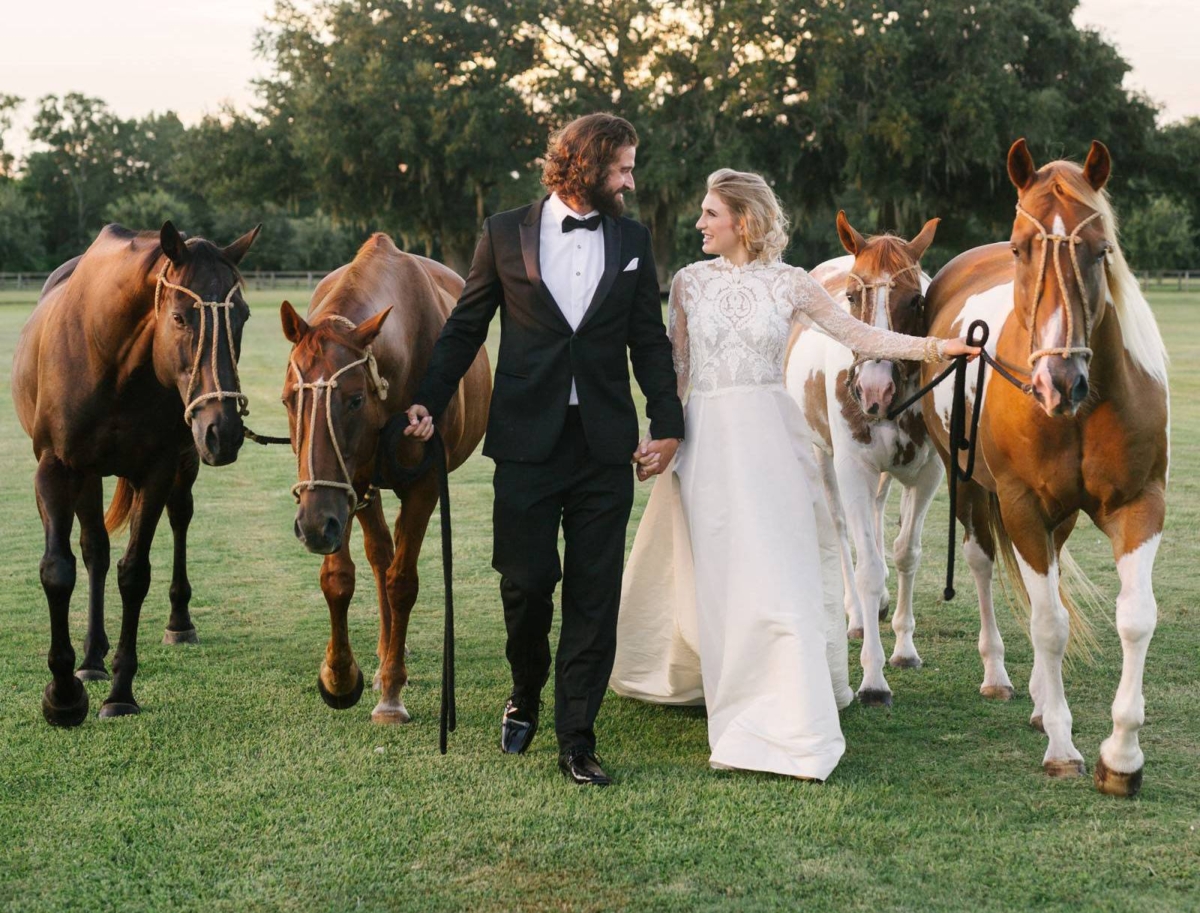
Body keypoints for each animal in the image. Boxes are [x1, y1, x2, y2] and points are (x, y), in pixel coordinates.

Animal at [12, 220, 261, 724]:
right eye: (180, 318)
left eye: (242, 316)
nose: (223, 431)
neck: (111, 360)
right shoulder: (55, 469)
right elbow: (59, 570)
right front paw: (63, 694)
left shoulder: (159, 470)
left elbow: (134, 574)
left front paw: (121, 692)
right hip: (88, 475)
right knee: (94, 550)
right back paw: (91, 657)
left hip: (183, 463)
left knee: (179, 518)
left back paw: (178, 622)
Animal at [278, 231, 489, 724]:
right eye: (289, 399)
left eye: (355, 399)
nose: (312, 526)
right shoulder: (347, 487)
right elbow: (341, 577)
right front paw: (340, 676)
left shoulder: (424, 483)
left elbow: (402, 581)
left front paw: (392, 693)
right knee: (379, 555)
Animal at [787, 213, 945, 705]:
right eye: (853, 297)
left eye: (915, 299)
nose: (875, 390)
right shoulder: (852, 470)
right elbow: (868, 568)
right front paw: (874, 678)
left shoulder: (927, 475)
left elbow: (906, 553)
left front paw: (904, 648)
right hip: (822, 458)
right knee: (843, 532)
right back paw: (857, 615)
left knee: (875, 520)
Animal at [921, 139, 1166, 796]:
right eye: (1018, 248)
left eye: (1101, 249)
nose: (1060, 382)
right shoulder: (1022, 506)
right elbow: (1049, 624)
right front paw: (1062, 745)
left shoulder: (1140, 505)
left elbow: (1135, 619)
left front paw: (1122, 756)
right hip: (969, 485)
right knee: (984, 565)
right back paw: (1000, 677)